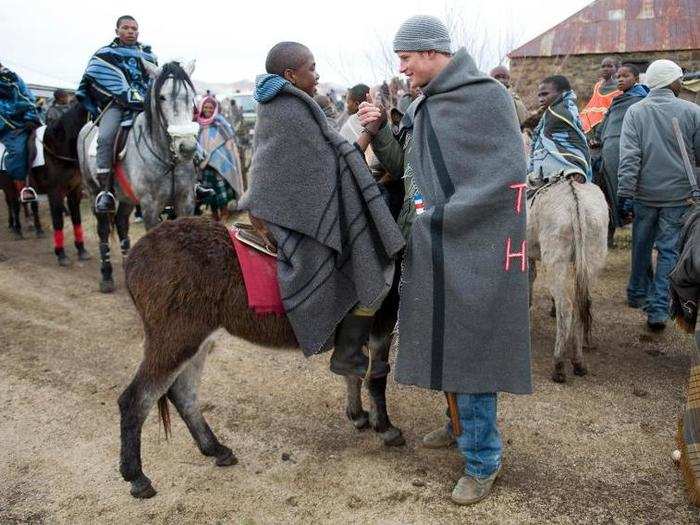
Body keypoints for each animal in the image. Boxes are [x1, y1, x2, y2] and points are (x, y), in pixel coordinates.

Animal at [79, 60, 200, 294]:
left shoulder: (185, 201)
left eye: (191, 96)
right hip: (93, 190)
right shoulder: (150, 206)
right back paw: (106, 275)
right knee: (103, 228)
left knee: (121, 223)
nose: (187, 147)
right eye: (162, 97)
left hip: (126, 198)